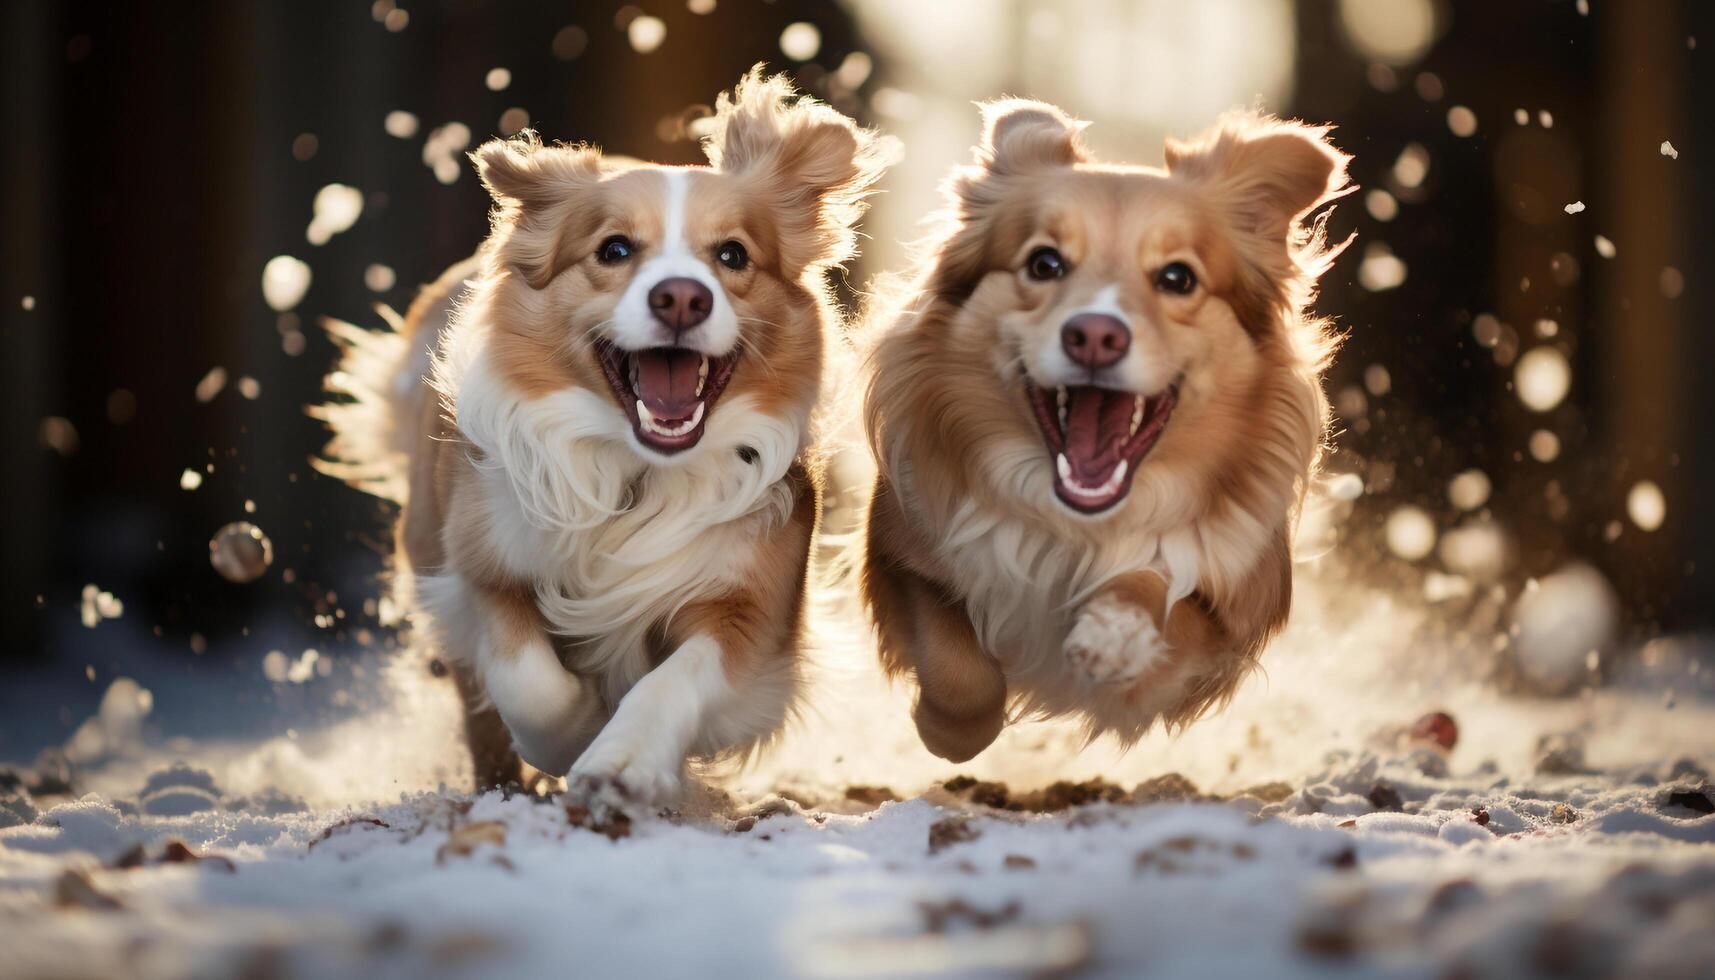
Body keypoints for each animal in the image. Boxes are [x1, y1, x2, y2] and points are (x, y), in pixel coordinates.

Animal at [315, 70, 898, 806]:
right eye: (614, 250)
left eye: (732, 254)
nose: (681, 297)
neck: (636, 475)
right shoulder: (480, 567)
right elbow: (527, 680)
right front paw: (574, 734)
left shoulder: (753, 611)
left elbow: (676, 677)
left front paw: (623, 758)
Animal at [864, 103, 1344, 762]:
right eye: (1044, 264)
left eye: (1178, 277)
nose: (1096, 334)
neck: (1076, 525)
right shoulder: (901, 552)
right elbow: (959, 673)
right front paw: (948, 730)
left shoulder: (1224, 628)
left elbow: (1159, 588)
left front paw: (1115, 632)